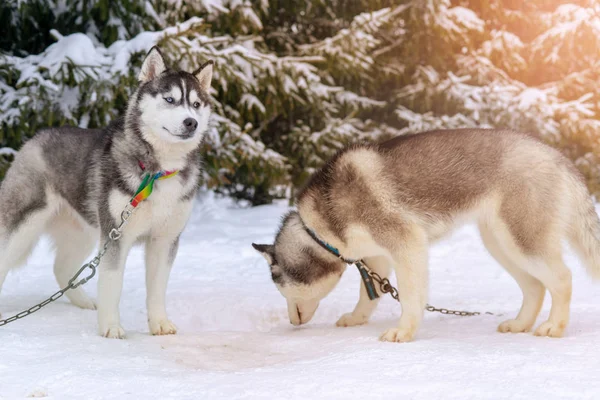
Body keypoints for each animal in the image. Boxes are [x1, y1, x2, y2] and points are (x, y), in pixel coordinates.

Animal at [0, 48, 214, 340]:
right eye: (170, 99)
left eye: (196, 104)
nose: (190, 122)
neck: (157, 172)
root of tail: (38, 135)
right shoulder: (116, 234)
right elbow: (113, 283)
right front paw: (111, 327)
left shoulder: (165, 238)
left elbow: (157, 287)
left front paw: (159, 323)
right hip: (24, 225)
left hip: (84, 230)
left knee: (61, 267)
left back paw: (83, 301)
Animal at [252, 130, 600, 342]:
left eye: (280, 286)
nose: (292, 321)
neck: (317, 228)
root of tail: (557, 157)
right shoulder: (376, 256)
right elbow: (369, 294)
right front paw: (357, 317)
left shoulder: (407, 242)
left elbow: (410, 296)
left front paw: (404, 331)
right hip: (501, 243)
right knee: (535, 287)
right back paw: (520, 324)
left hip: (522, 240)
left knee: (562, 278)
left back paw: (554, 326)